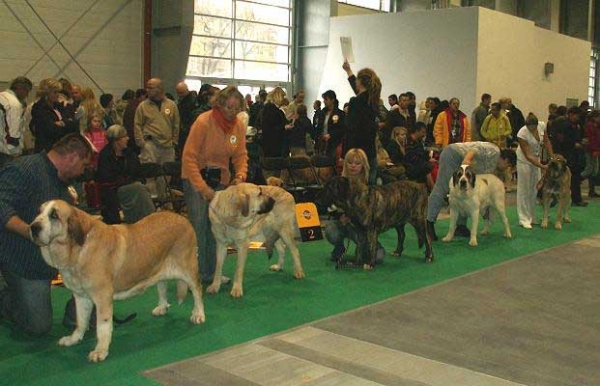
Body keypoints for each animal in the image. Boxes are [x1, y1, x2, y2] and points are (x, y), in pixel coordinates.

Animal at [30, 201, 206, 364]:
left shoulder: (102, 298)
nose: (33, 227)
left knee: (197, 290)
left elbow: (102, 326)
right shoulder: (81, 297)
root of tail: (182, 218)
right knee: (162, 286)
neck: (79, 249)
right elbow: (81, 321)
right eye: (39, 212)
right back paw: (162, 307)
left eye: (54, 215)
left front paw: (100, 351)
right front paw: (74, 339)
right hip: (157, 267)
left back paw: (198, 314)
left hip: (188, 268)